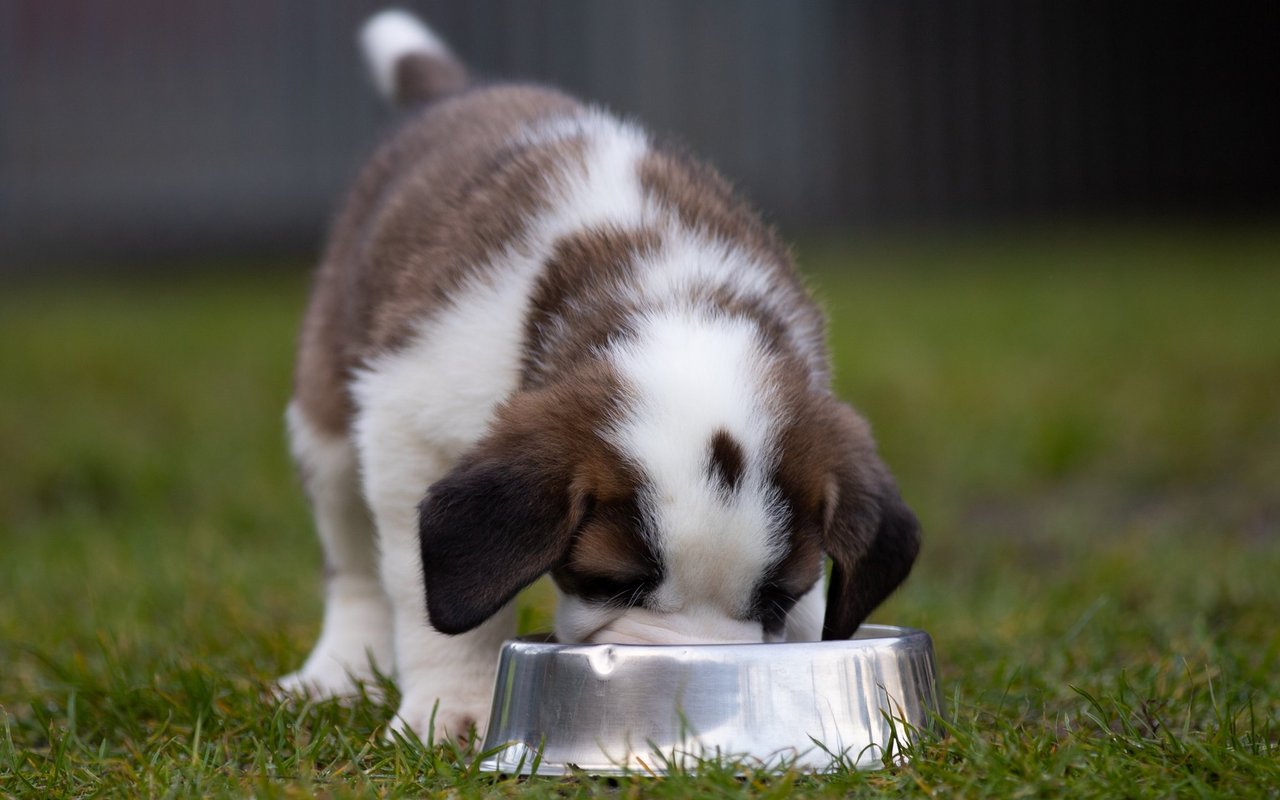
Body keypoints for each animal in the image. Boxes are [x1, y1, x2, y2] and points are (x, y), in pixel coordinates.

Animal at [280, 7, 921, 742]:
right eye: (613, 583)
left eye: (778, 595)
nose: (693, 670)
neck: (669, 296)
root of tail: (463, 93)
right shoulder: (409, 430)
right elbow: (425, 595)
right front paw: (453, 704)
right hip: (329, 414)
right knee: (352, 560)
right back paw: (337, 672)